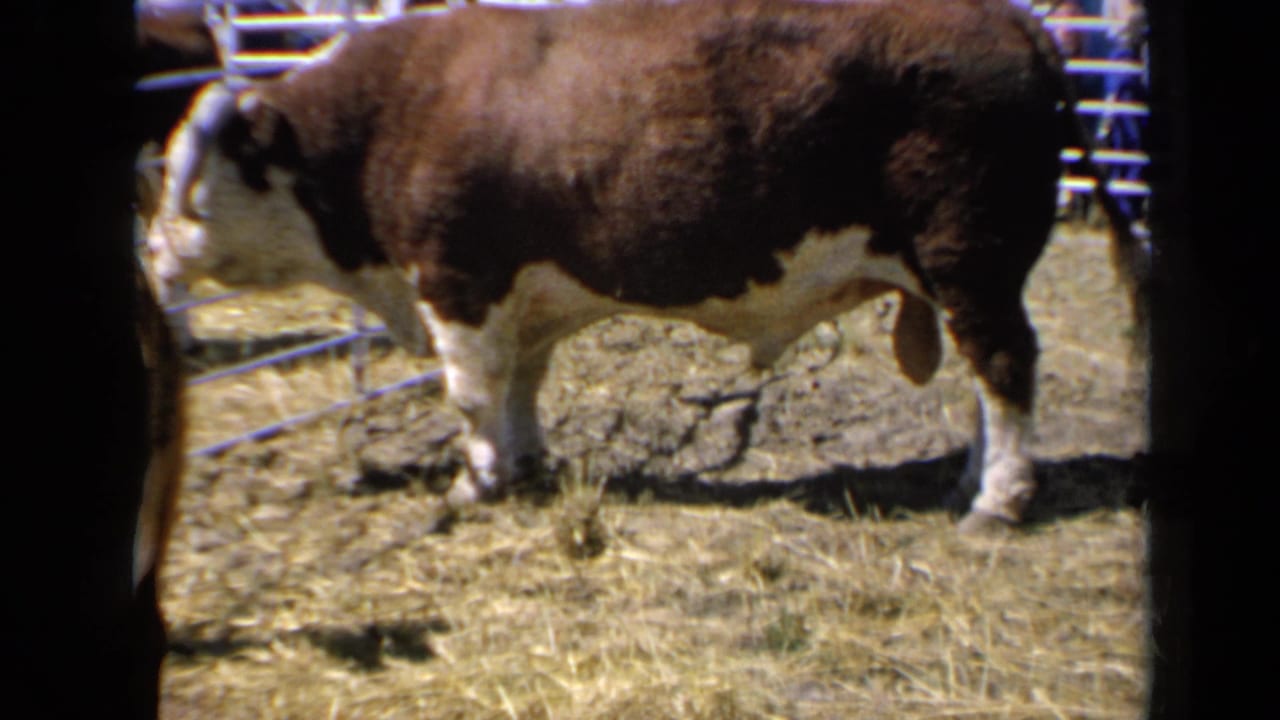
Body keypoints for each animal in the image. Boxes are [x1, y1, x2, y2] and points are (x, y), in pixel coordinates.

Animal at [143, 0, 1145, 534]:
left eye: (192, 177)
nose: (149, 251)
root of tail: (1009, 19)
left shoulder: (458, 282)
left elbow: (470, 394)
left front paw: (475, 482)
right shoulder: (523, 297)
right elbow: (521, 383)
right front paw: (527, 461)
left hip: (970, 260)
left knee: (1005, 367)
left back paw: (1000, 500)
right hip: (962, 274)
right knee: (986, 381)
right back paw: (967, 480)